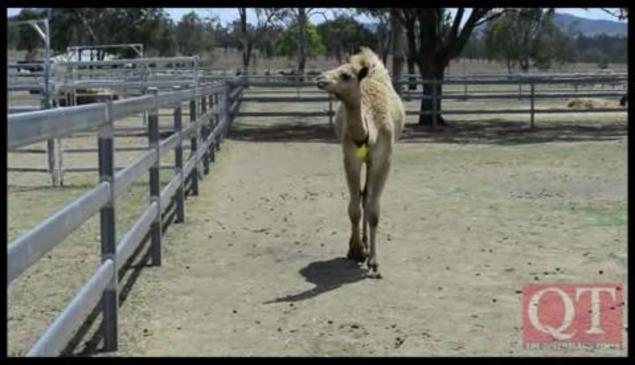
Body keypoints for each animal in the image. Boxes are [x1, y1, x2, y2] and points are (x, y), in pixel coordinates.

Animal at [316, 47, 404, 278]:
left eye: (345, 75)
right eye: (337, 67)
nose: (320, 79)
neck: (368, 133)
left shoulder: (384, 159)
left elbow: (373, 211)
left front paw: (373, 262)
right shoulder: (350, 157)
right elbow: (353, 208)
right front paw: (355, 251)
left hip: (373, 162)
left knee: (367, 196)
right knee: (361, 196)